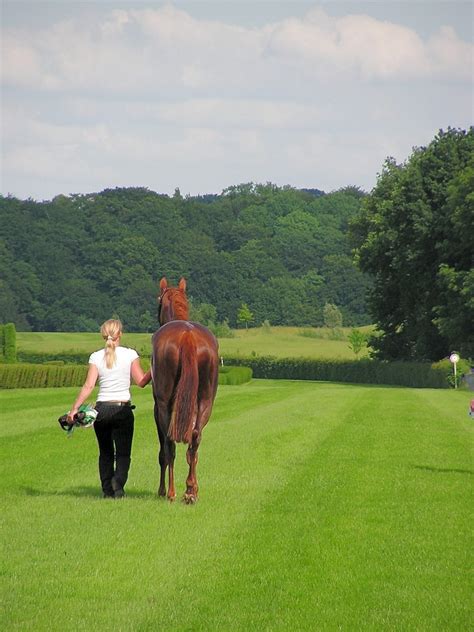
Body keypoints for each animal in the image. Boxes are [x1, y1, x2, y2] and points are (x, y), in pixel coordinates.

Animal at [151, 276, 219, 504]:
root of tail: (188, 336)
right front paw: (192, 488)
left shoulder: (158, 407)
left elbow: (164, 450)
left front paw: (162, 489)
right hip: (206, 401)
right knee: (195, 438)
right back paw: (190, 491)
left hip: (164, 406)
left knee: (169, 443)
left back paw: (171, 491)